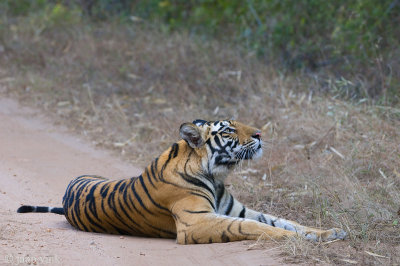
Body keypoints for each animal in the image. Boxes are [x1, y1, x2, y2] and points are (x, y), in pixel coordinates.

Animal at [17, 119, 346, 244]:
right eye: (228, 130)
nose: (260, 134)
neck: (217, 175)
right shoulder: (196, 222)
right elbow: (254, 227)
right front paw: (297, 239)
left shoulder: (237, 209)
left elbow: (285, 220)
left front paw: (330, 232)